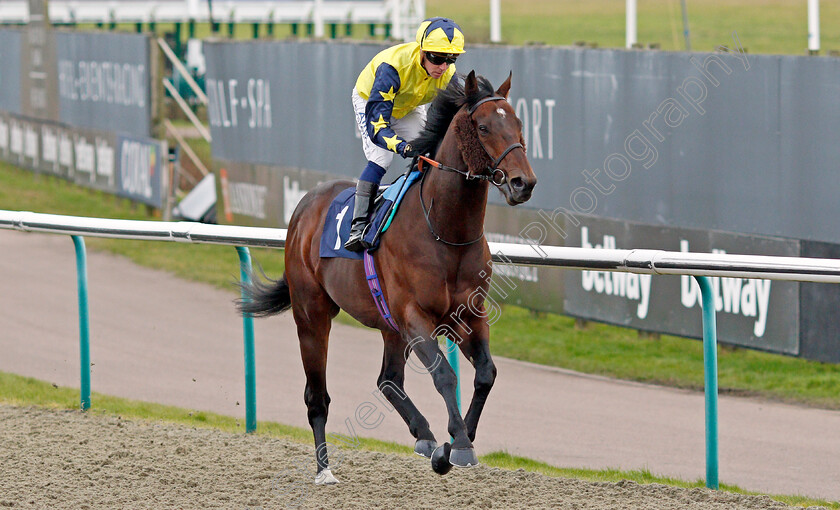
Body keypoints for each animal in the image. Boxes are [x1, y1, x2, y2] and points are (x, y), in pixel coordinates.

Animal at [238, 70, 540, 482]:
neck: (445, 232)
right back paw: (324, 470)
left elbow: (486, 373)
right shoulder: (415, 316)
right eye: (483, 127)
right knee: (317, 396)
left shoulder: (469, 316)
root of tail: (304, 207)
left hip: (388, 325)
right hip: (312, 314)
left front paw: (457, 442)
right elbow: (445, 375)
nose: (523, 183)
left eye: (519, 124)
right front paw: (459, 444)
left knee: (388, 379)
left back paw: (426, 437)